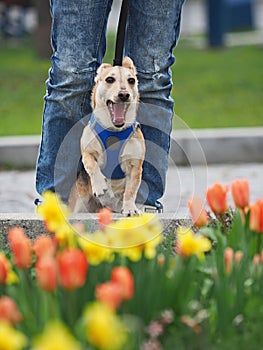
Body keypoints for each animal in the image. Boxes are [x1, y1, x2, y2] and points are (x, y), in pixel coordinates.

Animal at [69, 56, 145, 216]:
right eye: (109, 79)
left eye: (131, 80)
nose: (124, 94)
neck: (114, 130)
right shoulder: (87, 152)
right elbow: (92, 166)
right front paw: (99, 185)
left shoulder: (135, 166)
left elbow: (131, 190)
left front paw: (130, 209)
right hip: (79, 204)